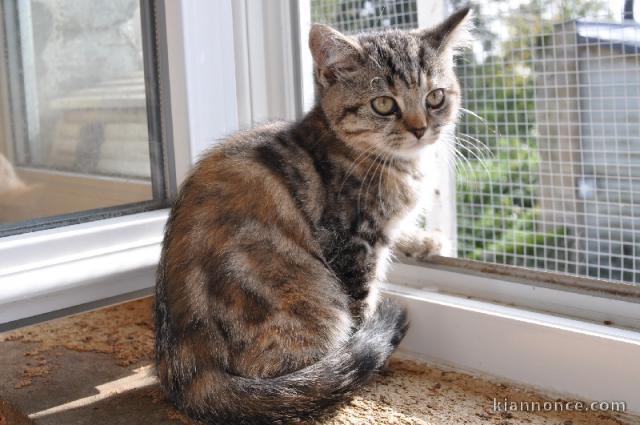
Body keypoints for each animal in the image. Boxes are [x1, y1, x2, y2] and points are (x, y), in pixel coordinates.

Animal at [156, 7, 470, 424]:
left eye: (435, 97)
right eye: (384, 104)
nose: (421, 129)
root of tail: (188, 371)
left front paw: (426, 240)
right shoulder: (351, 241)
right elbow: (363, 300)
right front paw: (363, 343)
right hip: (307, 299)